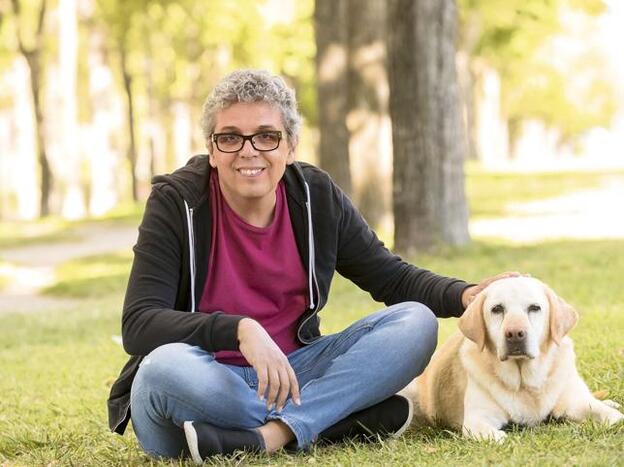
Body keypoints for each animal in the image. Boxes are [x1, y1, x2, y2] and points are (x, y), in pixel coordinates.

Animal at [400, 278, 624, 442]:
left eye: (534, 308)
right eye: (497, 309)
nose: (515, 334)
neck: (526, 384)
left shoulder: (576, 401)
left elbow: (613, 417)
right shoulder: (477, 421)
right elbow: (496, 436)